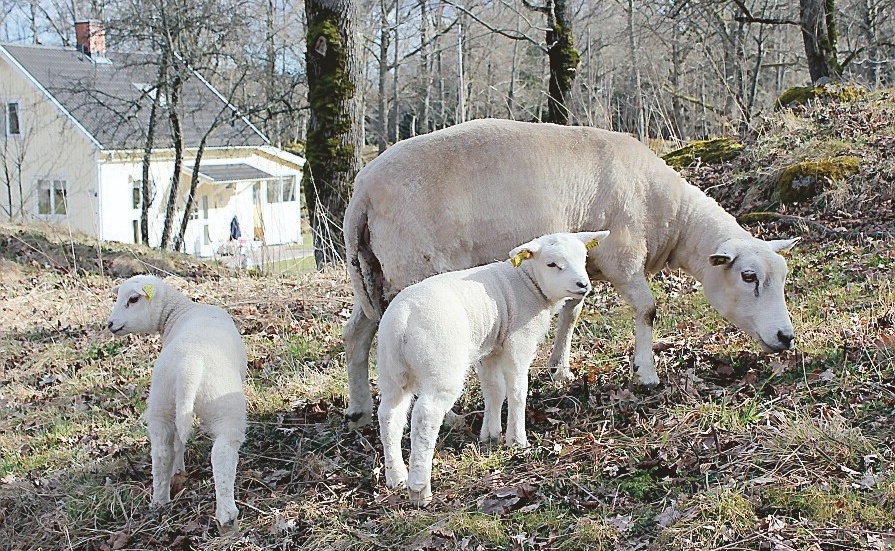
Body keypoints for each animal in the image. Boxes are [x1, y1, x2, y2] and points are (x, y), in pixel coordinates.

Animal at [106, 276, 247, 536]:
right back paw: (227, 519)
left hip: (162, 403)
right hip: (225, 408)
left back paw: (160, 500)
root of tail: (188, 366)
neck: (178, 311)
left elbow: (177, 443)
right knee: (222, 454)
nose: (110, 324)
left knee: (161, 452)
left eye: (133, 299)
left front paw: (178, 470)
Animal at [344, 118, 800, 430]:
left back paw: (359, 407)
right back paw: (448, 415)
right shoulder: (623, 255)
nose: (785, 337)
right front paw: (647, 373)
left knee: (356, 334)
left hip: (376, 270)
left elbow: (573, 310)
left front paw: (560, 369)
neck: (671, 215)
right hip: (412, 269)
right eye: (748, 277)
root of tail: (361, 192)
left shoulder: (585, 263)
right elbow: (648, 309)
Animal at [374, 231, 612, 506]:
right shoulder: (518, 341)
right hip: (440, 366)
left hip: (391, 369)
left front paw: (491, 434)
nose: (582, 285)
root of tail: (403, 319)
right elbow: (517, 390)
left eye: (583, 258)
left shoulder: (490, 349)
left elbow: (493, 390)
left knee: (389, 415)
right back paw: (420, 488)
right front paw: (516, 440)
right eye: (552, 264)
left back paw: (396, 476)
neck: (527, 282)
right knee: (425, 416)